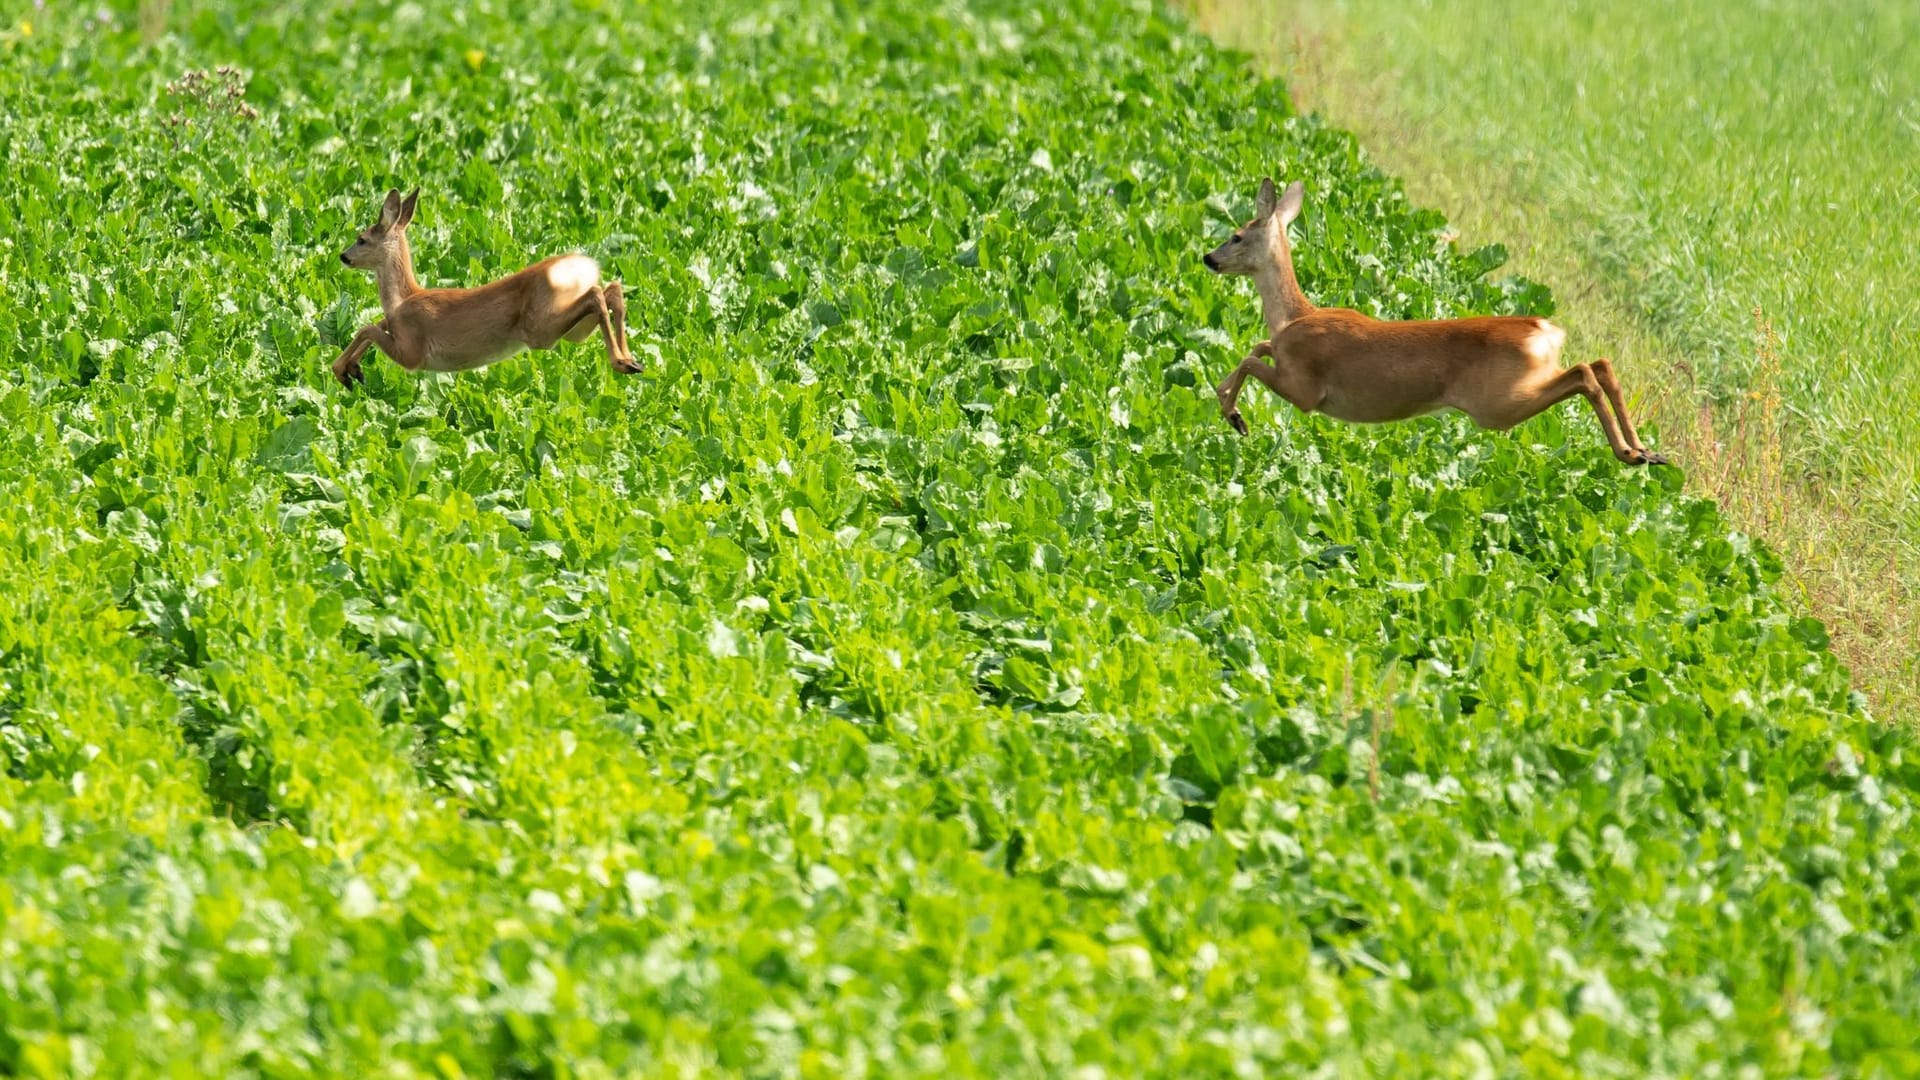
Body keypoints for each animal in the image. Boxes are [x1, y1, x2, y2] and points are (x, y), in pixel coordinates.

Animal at [322, 189, 637, 386]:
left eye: (361, 239)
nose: (343, 256)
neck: (403, 298)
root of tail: (582, 265)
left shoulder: (412, 353)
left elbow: (368, 327)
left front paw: (342, 371)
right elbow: (377, 322)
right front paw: (351, 370)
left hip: (541, 328)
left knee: (596, 295)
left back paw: (623, 362)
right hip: (575, 332)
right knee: (611, 289)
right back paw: (631, 361)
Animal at [1198, 176, 1666, 463]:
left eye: (1236, 236)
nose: (1208, 258)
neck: (1294, 316)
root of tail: (1546, 330)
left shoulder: (1306, 389)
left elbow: (1251, 358)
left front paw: (1233, 415)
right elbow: (1258, 347)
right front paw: (1229, 406)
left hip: (1498, 403)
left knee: (1585, 373)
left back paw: (1630, 453)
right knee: (1601, 363)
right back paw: (1646, 452)